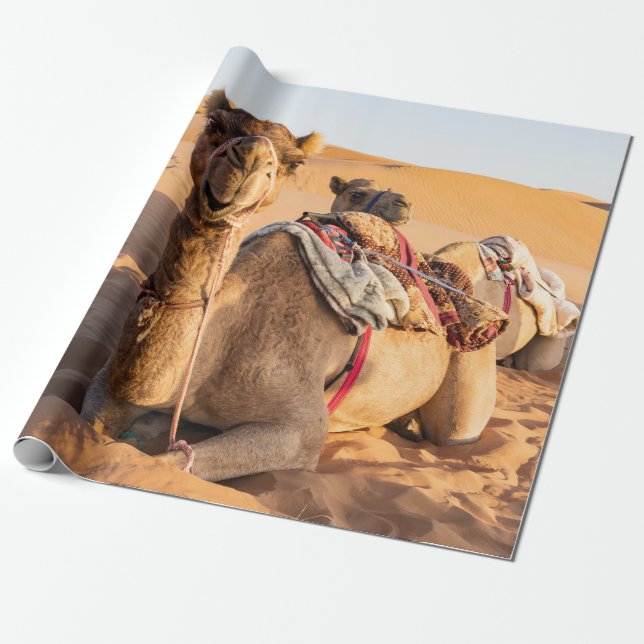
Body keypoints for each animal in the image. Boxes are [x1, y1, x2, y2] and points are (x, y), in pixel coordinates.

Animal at [81, 98, 500, 482]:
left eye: (293, 162)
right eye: (214, 124)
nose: (249, 158)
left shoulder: (301, 429)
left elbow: (153, 466)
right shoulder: (109, 381)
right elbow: (94, 431)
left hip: (469, 385)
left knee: (455, 432)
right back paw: (405, 424)